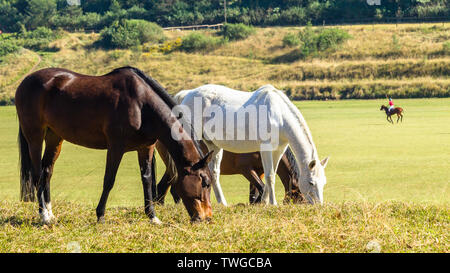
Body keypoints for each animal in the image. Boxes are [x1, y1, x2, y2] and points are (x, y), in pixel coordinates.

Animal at [14, 66, 215, 223]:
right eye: (204, 182)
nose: (207, 217)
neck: (141, 104)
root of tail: (25, 82)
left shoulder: (146, 148)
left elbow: (147, 180)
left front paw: (152, 216)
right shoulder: (116, 147)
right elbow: (109, 180)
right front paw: (100, 215)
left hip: (54, 137)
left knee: (47, 172)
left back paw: (50, 213)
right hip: (35, 136)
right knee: (37, 174)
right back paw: (44, 216)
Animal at [155, 140, 306, 204]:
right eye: (301, 197)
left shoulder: (260, 172)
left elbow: (255, 193)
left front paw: (256, 204)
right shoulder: (246, 169)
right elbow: (262, 188)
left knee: (163, 186)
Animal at [174, 84, 328, 205]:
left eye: (323, 182)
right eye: (311, 182)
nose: (319, 205)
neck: (279, 115)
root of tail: (187, 94)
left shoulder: (278, 150)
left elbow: (270, 175)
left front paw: (264, 202)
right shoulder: (265, 148)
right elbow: (270, 176)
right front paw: (273, 203)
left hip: (214, 146)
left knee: (214, 172)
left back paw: (222, 203)